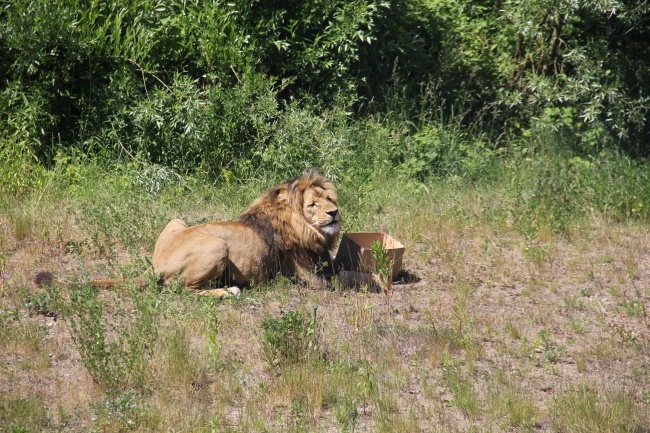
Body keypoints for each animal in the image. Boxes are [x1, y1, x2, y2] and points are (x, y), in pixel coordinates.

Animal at [88, 169, 342, 296]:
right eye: (312, 205)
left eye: (329, 199)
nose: (334, 213)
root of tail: (157, 265)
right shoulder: (309, 275)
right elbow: (344, 280)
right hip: (219, 246)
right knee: (185, 290)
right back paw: (229, 291)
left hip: (176, 220)